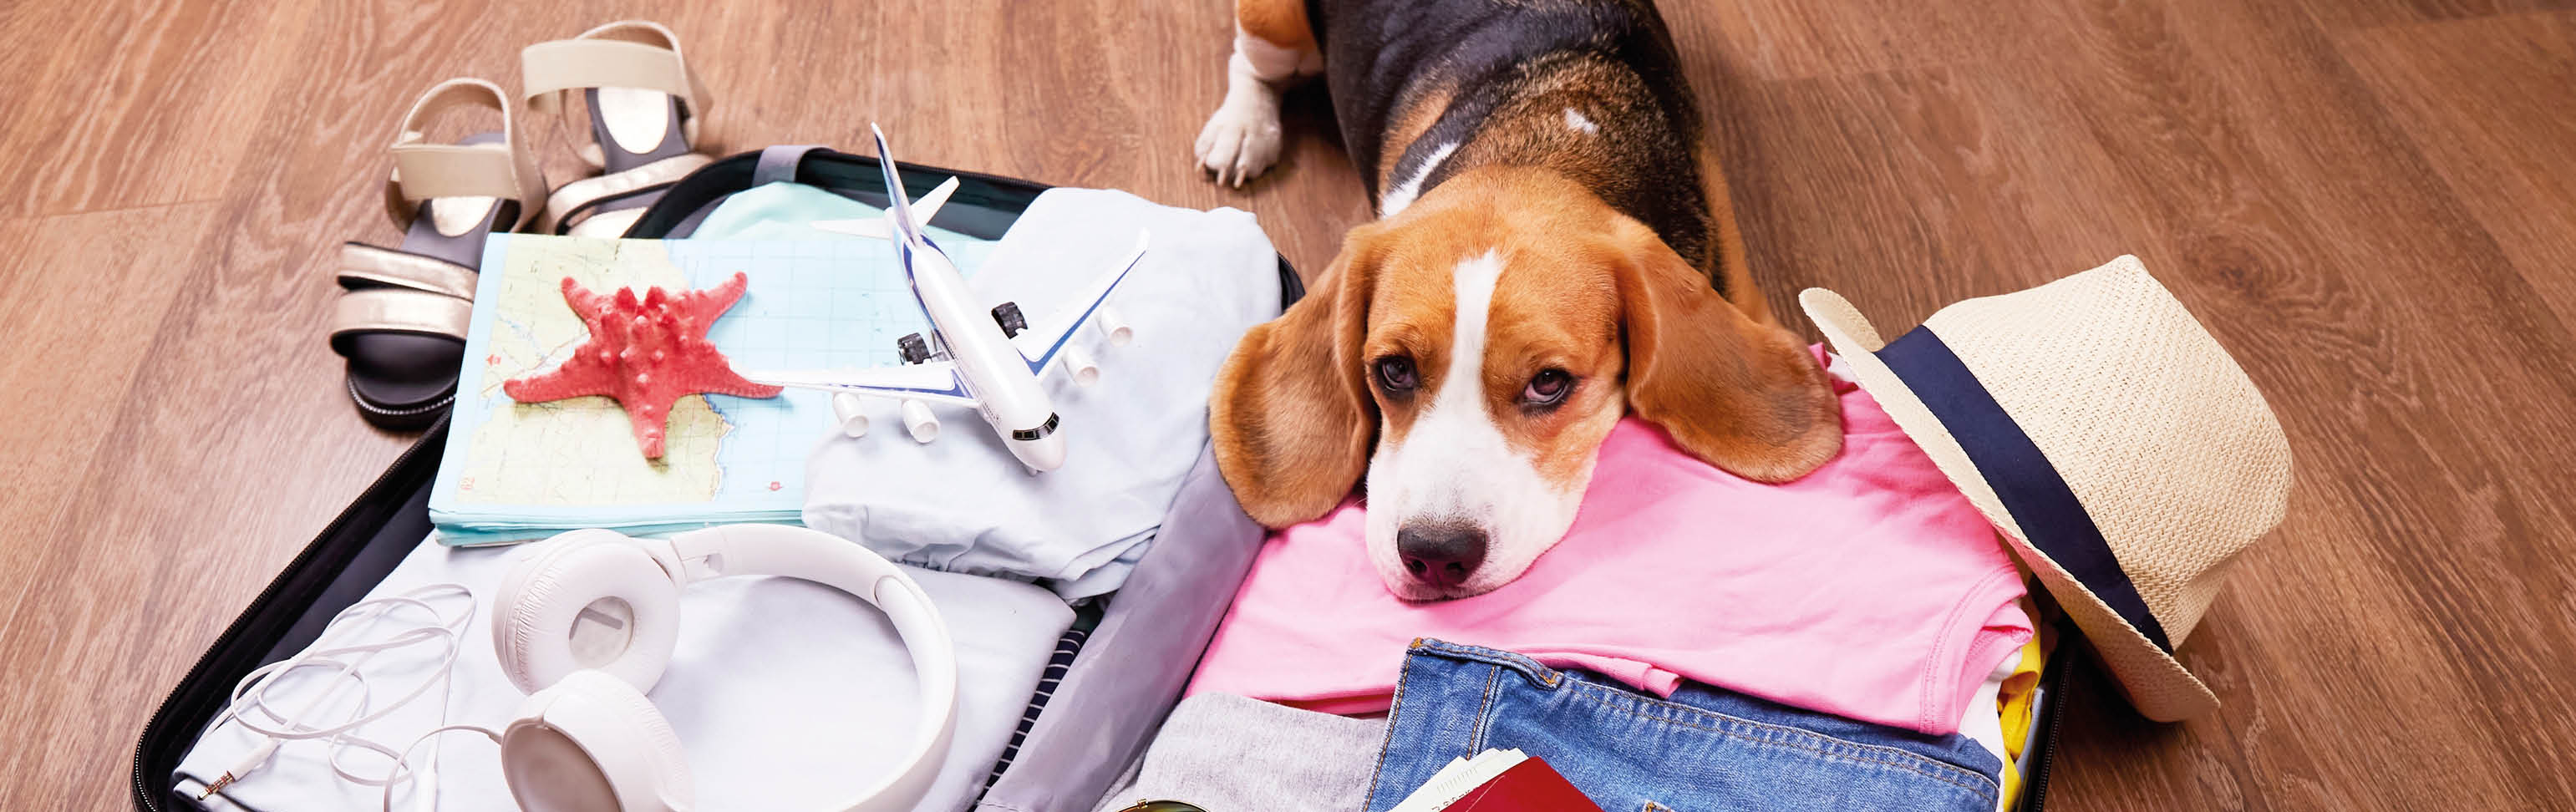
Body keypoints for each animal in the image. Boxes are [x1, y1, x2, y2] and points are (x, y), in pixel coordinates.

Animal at [1200, 0, 1846, 601]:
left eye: (1549, 382)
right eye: (1393, 370)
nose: (1435, 554)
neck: (1537, 146)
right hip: (1272, 24)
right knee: (1249, 65)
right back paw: (1242, 128)